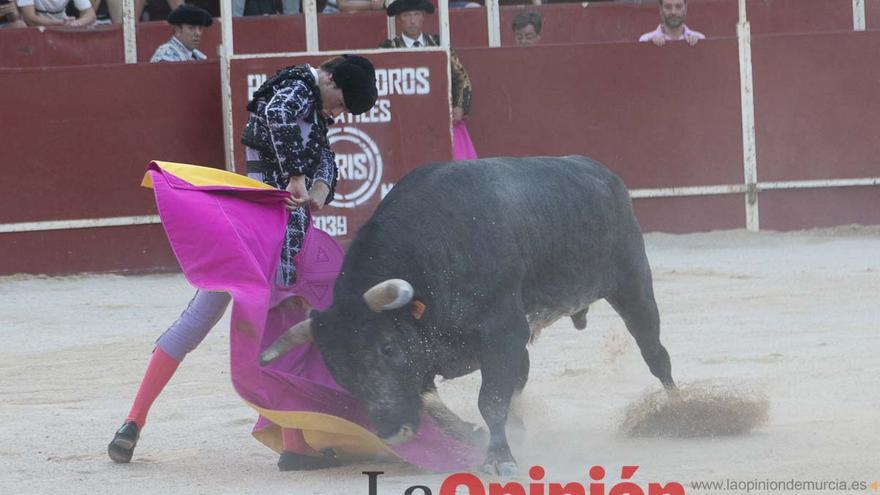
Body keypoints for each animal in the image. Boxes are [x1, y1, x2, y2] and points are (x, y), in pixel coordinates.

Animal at [262, 157, 672, 474]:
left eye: (388, 348)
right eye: (338, 371)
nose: (393, 432)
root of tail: (602, 173)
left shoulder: (502, 332)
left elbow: (491, 399)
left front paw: (499, 459)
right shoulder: (443, 355)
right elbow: (445, 404)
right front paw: (478, 438)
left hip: (633, 284)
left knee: (655, 353)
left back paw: (675, 410)